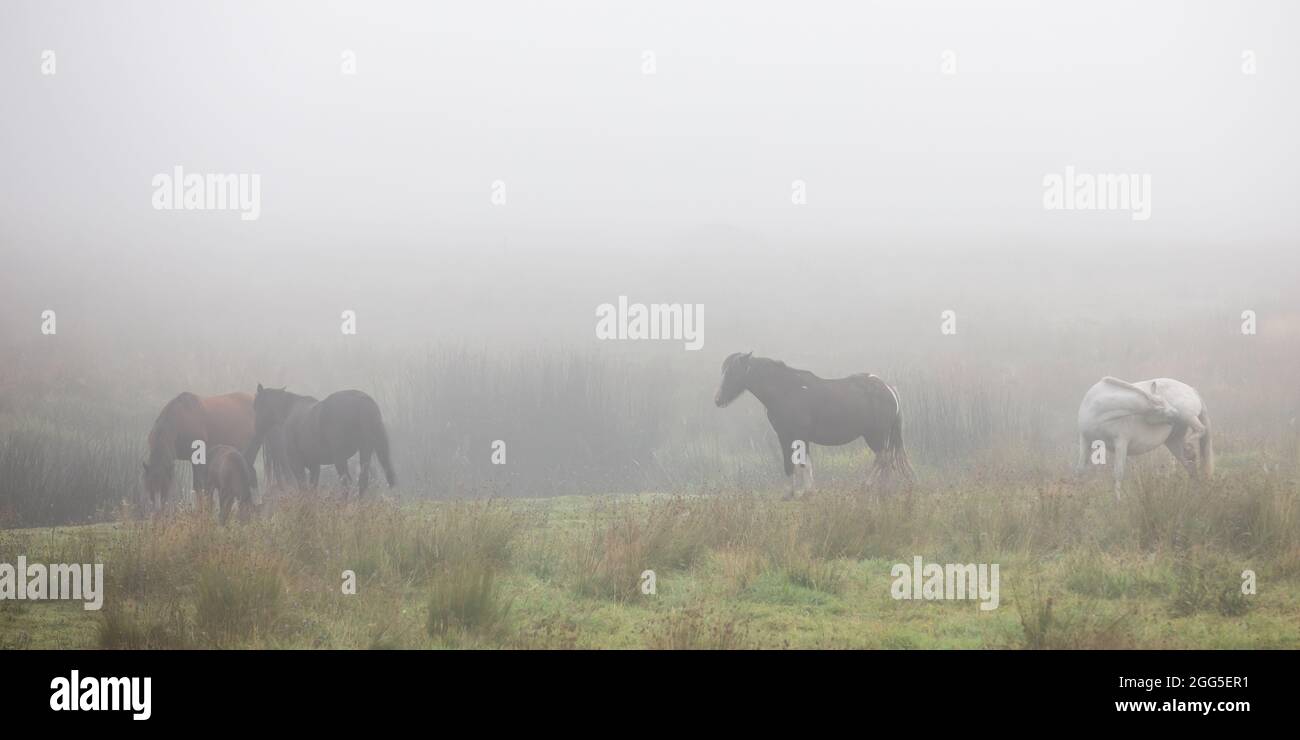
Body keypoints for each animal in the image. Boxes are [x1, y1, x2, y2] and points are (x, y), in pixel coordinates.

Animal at [712, 351, 915, 496]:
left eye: (732, 372)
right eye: (723, 372)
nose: (718, 400)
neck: (787, 391)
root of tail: (888, 389)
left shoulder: (801, 435)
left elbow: (803, 462)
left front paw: (808, 491)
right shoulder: (784, 435)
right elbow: (789, 462)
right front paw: (790, 493)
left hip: (876, 436)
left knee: (883, 458)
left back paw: (868, 486)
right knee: (886, 460)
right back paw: (883, 489)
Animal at [1071, 374, 1211, 502]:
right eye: (1160, 406)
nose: (1176, 414)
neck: (1097, 408)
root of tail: (1191, 389)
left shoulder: (1121, 443)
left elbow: (1118, 473)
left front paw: (1118, 502)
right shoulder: (1085, 440)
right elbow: (1080, 470)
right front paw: (1078, 497)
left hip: (1188, 417)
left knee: (1201, 430)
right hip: (1174, 441)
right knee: (1190, 466)